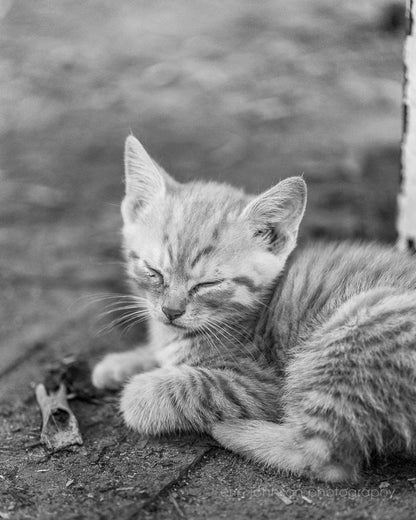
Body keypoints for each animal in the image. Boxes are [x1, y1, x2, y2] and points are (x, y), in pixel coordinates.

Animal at [92, 135, 416, 484]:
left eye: (208, 284)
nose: (171, 311)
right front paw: (120, 363)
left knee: (325, 459)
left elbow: (186, 386)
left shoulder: (258, 383)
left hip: (361, 320)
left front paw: (137, 390)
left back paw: (230, 430)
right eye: (153, 271)